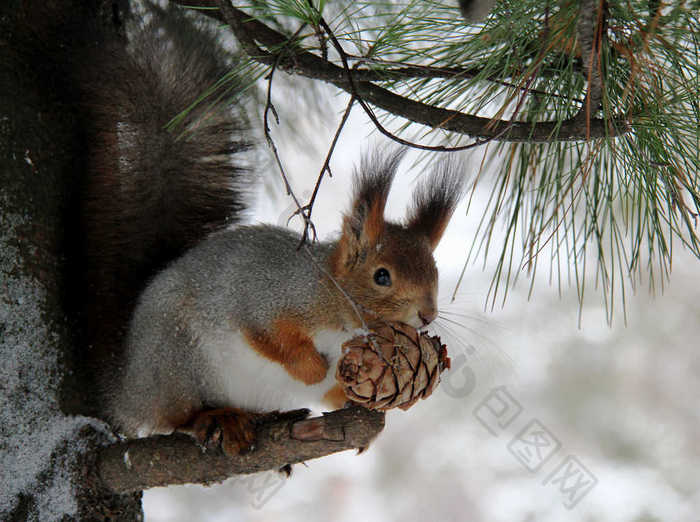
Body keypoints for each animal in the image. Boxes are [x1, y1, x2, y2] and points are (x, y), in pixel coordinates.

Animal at [80, 4, 464, 452]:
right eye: (382, 276)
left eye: (434, 270)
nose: (427, 315)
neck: (331, 298)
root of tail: (126, 387)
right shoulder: (264, 297)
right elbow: (272, 338)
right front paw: (312, 367)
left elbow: (332, 393)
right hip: (176, 361)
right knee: (172, 416)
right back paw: (216, 417)